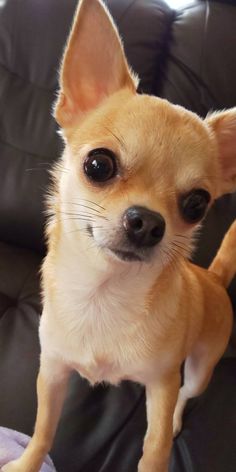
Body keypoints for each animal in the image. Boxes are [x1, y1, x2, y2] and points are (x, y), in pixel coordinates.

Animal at [3, 0, 236, 472]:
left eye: (197, 203)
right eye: (98, 165)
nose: (146, 222)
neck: (103, 293)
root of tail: (214, 278)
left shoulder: (160, 385)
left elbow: (155, 447)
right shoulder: (52, 371)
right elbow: (43, 429)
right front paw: (25, 463)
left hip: (200, 369)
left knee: (185, 396)